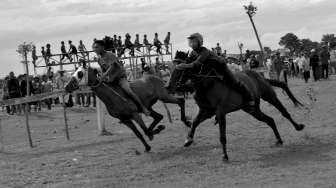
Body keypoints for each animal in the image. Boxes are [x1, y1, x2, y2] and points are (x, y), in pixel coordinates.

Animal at [168, 51, 304, 162]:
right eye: (172, 68)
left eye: (180, 69)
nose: (169, 86)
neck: (207, 84)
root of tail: (260, 75)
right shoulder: (206, 111)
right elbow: (195, 123)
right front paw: (188, 140)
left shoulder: (220, 113)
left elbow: (222, 136)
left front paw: (225, 156)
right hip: (252, 110)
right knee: (269, 120)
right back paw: (279, 140)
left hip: (269, 96)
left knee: (284, 112)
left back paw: (298, 126)